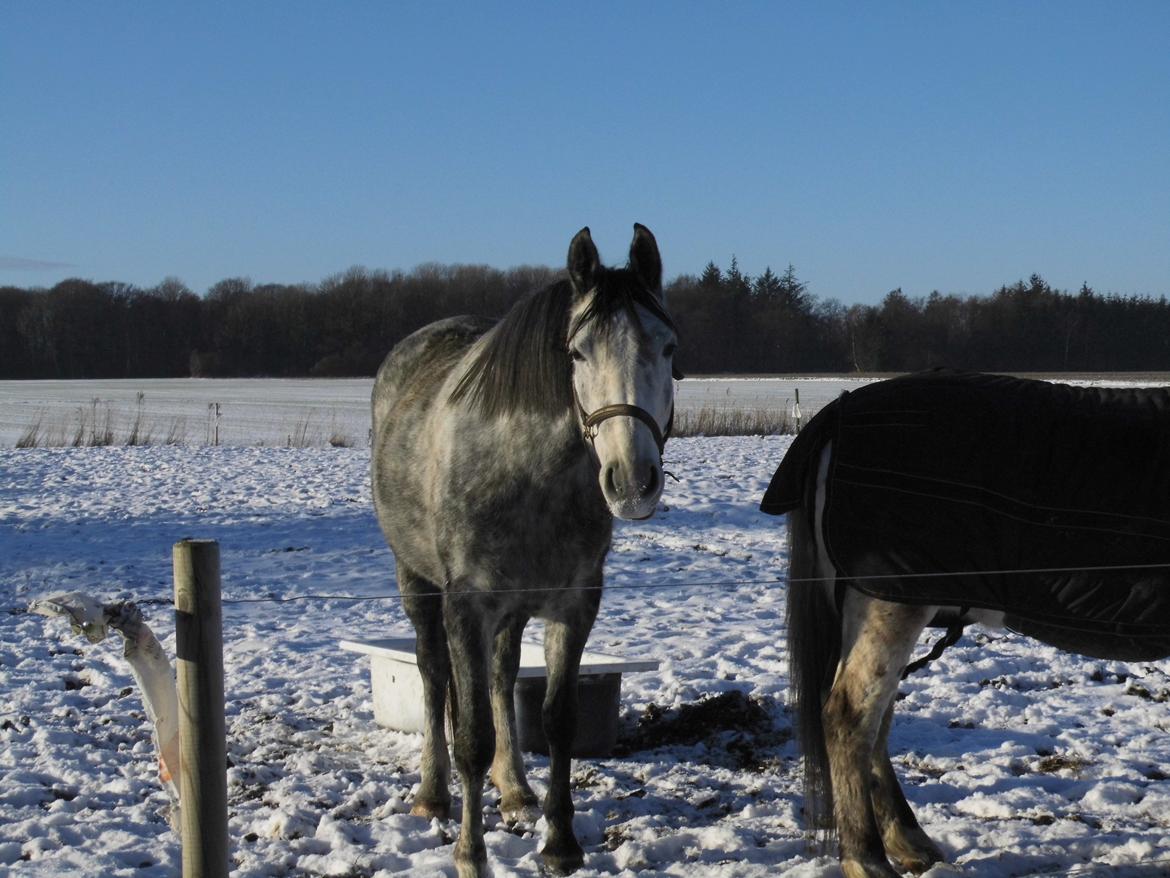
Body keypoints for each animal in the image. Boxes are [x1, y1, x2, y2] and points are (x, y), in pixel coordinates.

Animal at [369, 224, 673, 878]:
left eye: (667, 347)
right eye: (577, 352)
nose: (633, 481)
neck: (531, 474)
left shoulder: (574, 606)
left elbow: (557, 720)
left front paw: (560, 845)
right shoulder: (465, 606)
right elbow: (471, 736)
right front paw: (470, 855)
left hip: (511, 612)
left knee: (503, 675)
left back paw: (514, 790)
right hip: (417, 583)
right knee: (433, 674)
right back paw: (432, 794)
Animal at [762, 372, 1170, 878]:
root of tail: (839, 410)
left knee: (876, 722)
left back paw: (908, 840)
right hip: (889, 604)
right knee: (850, 717)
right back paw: (868, 860)